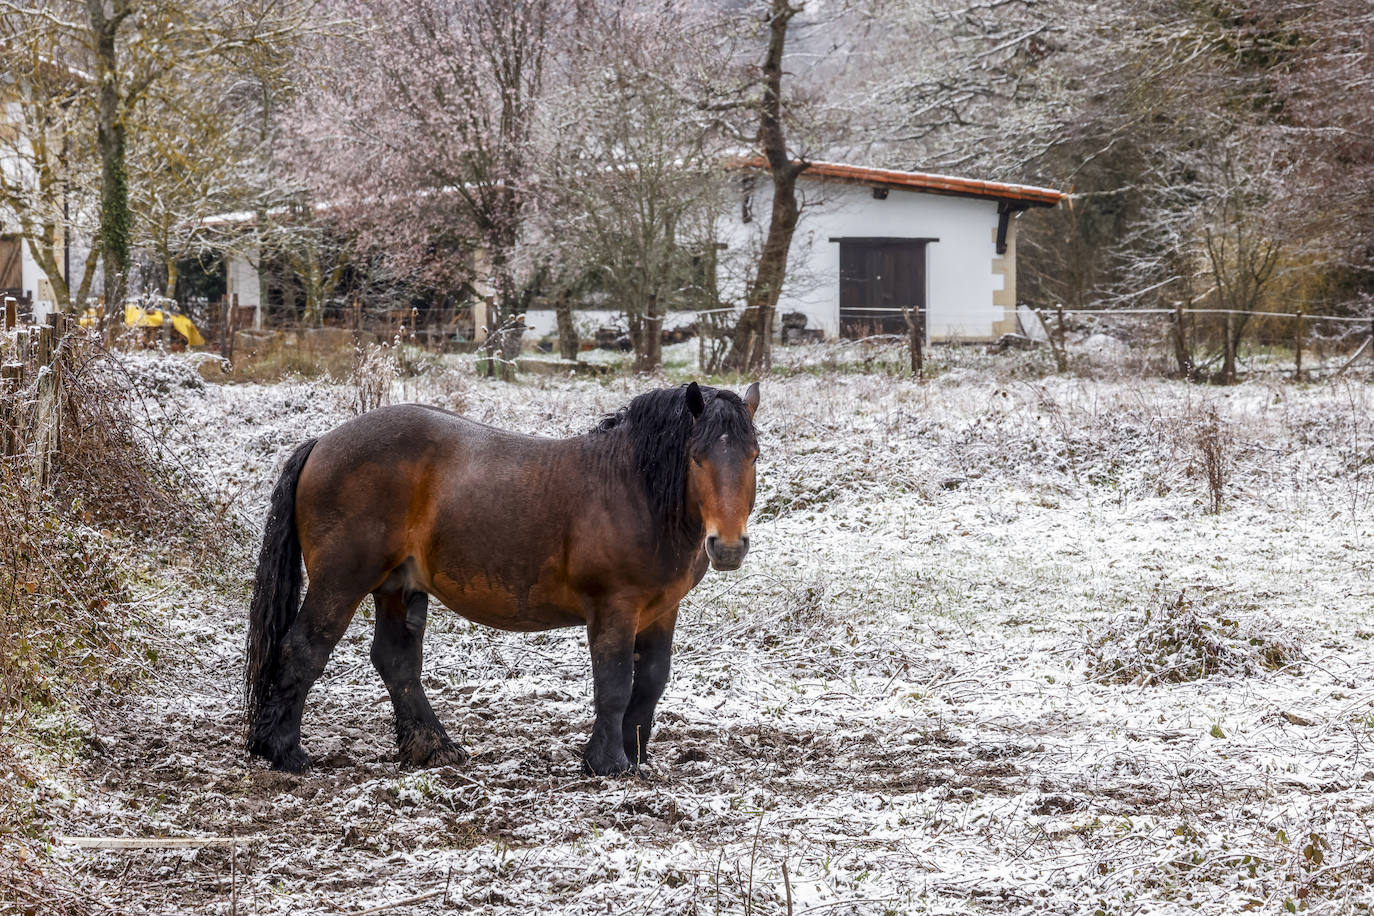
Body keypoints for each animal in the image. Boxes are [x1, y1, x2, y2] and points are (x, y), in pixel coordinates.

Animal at [247, 379, 763, 774]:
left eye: (754, 456)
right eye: (696, 457)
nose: (728, 546)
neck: (633, 489)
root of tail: (322, 443)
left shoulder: (660, 609)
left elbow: (652, 680)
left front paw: (634, 755)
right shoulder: (614, 607)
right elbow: (615, 682)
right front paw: (609, 762)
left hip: (396, 585)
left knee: (396, 661)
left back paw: (434, 747)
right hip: (342, 580)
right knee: (304, 649)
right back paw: (284, 752)